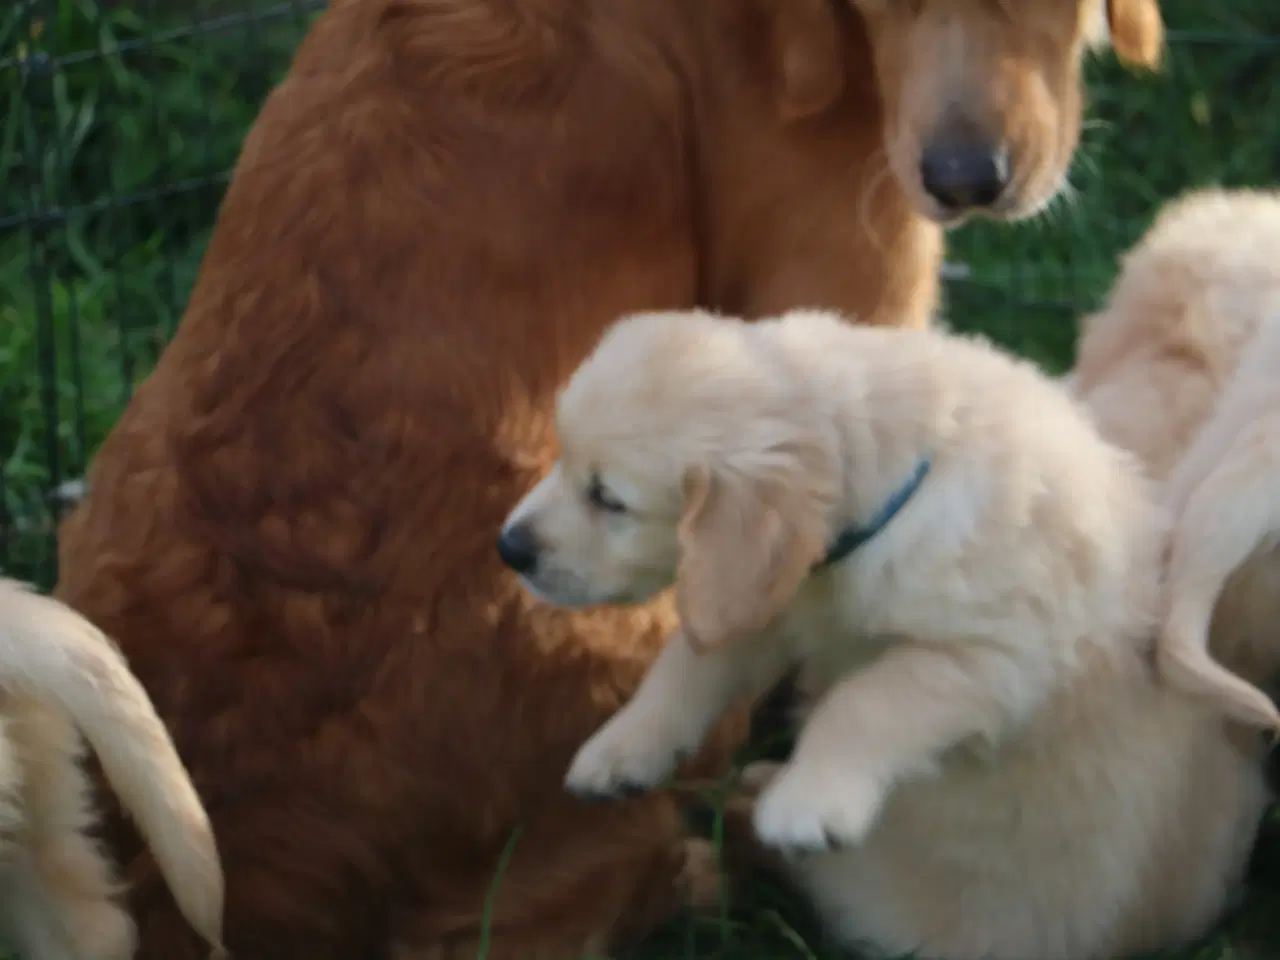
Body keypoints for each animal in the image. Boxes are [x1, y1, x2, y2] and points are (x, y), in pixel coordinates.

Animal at [499, 309, 1269, 960]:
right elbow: (688, 666)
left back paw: (761, 798)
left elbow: (867, 700)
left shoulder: (990, 656)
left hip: (879, 896)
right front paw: (618, 752)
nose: (509, 549)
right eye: (565, 463)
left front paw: (810, 802)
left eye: (609, 499)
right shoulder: (769, 597)